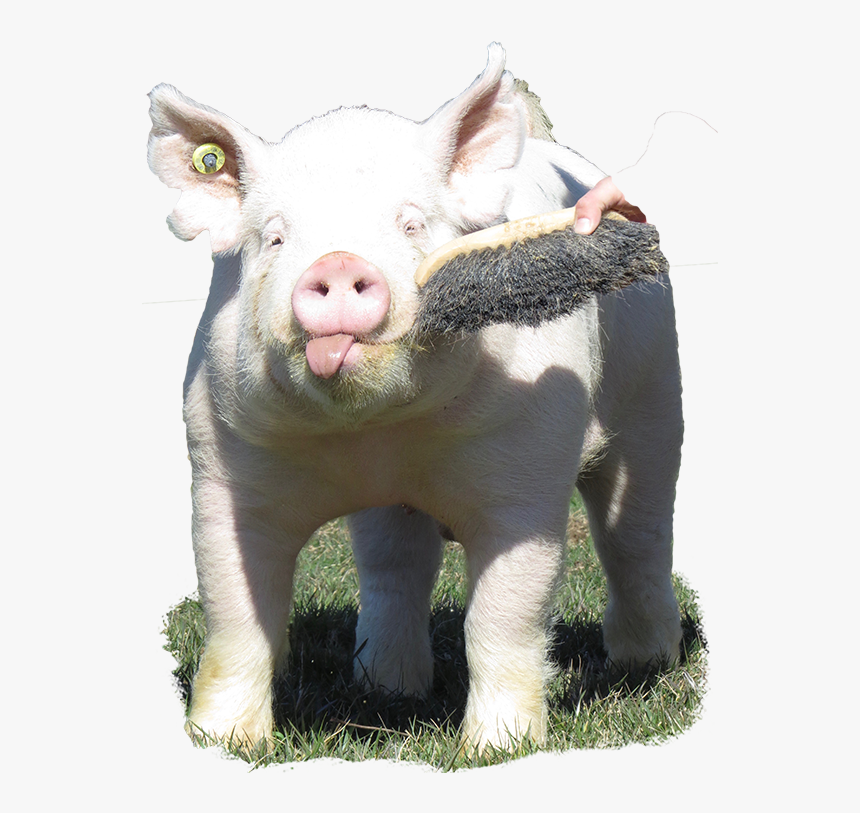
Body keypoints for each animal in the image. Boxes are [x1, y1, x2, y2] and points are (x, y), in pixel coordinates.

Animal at [147, 43, 683, 753]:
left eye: (411, 224)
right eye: (275, 237)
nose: (338, 263)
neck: (376, 434)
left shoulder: (528, 474)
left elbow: (502, 618)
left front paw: (496, 749)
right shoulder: (222, 468)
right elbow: (236, 619)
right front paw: (223, 743)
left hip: (656, 396)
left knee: (637, 531)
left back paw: (646, 663)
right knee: (395, 562)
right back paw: (386, 687)